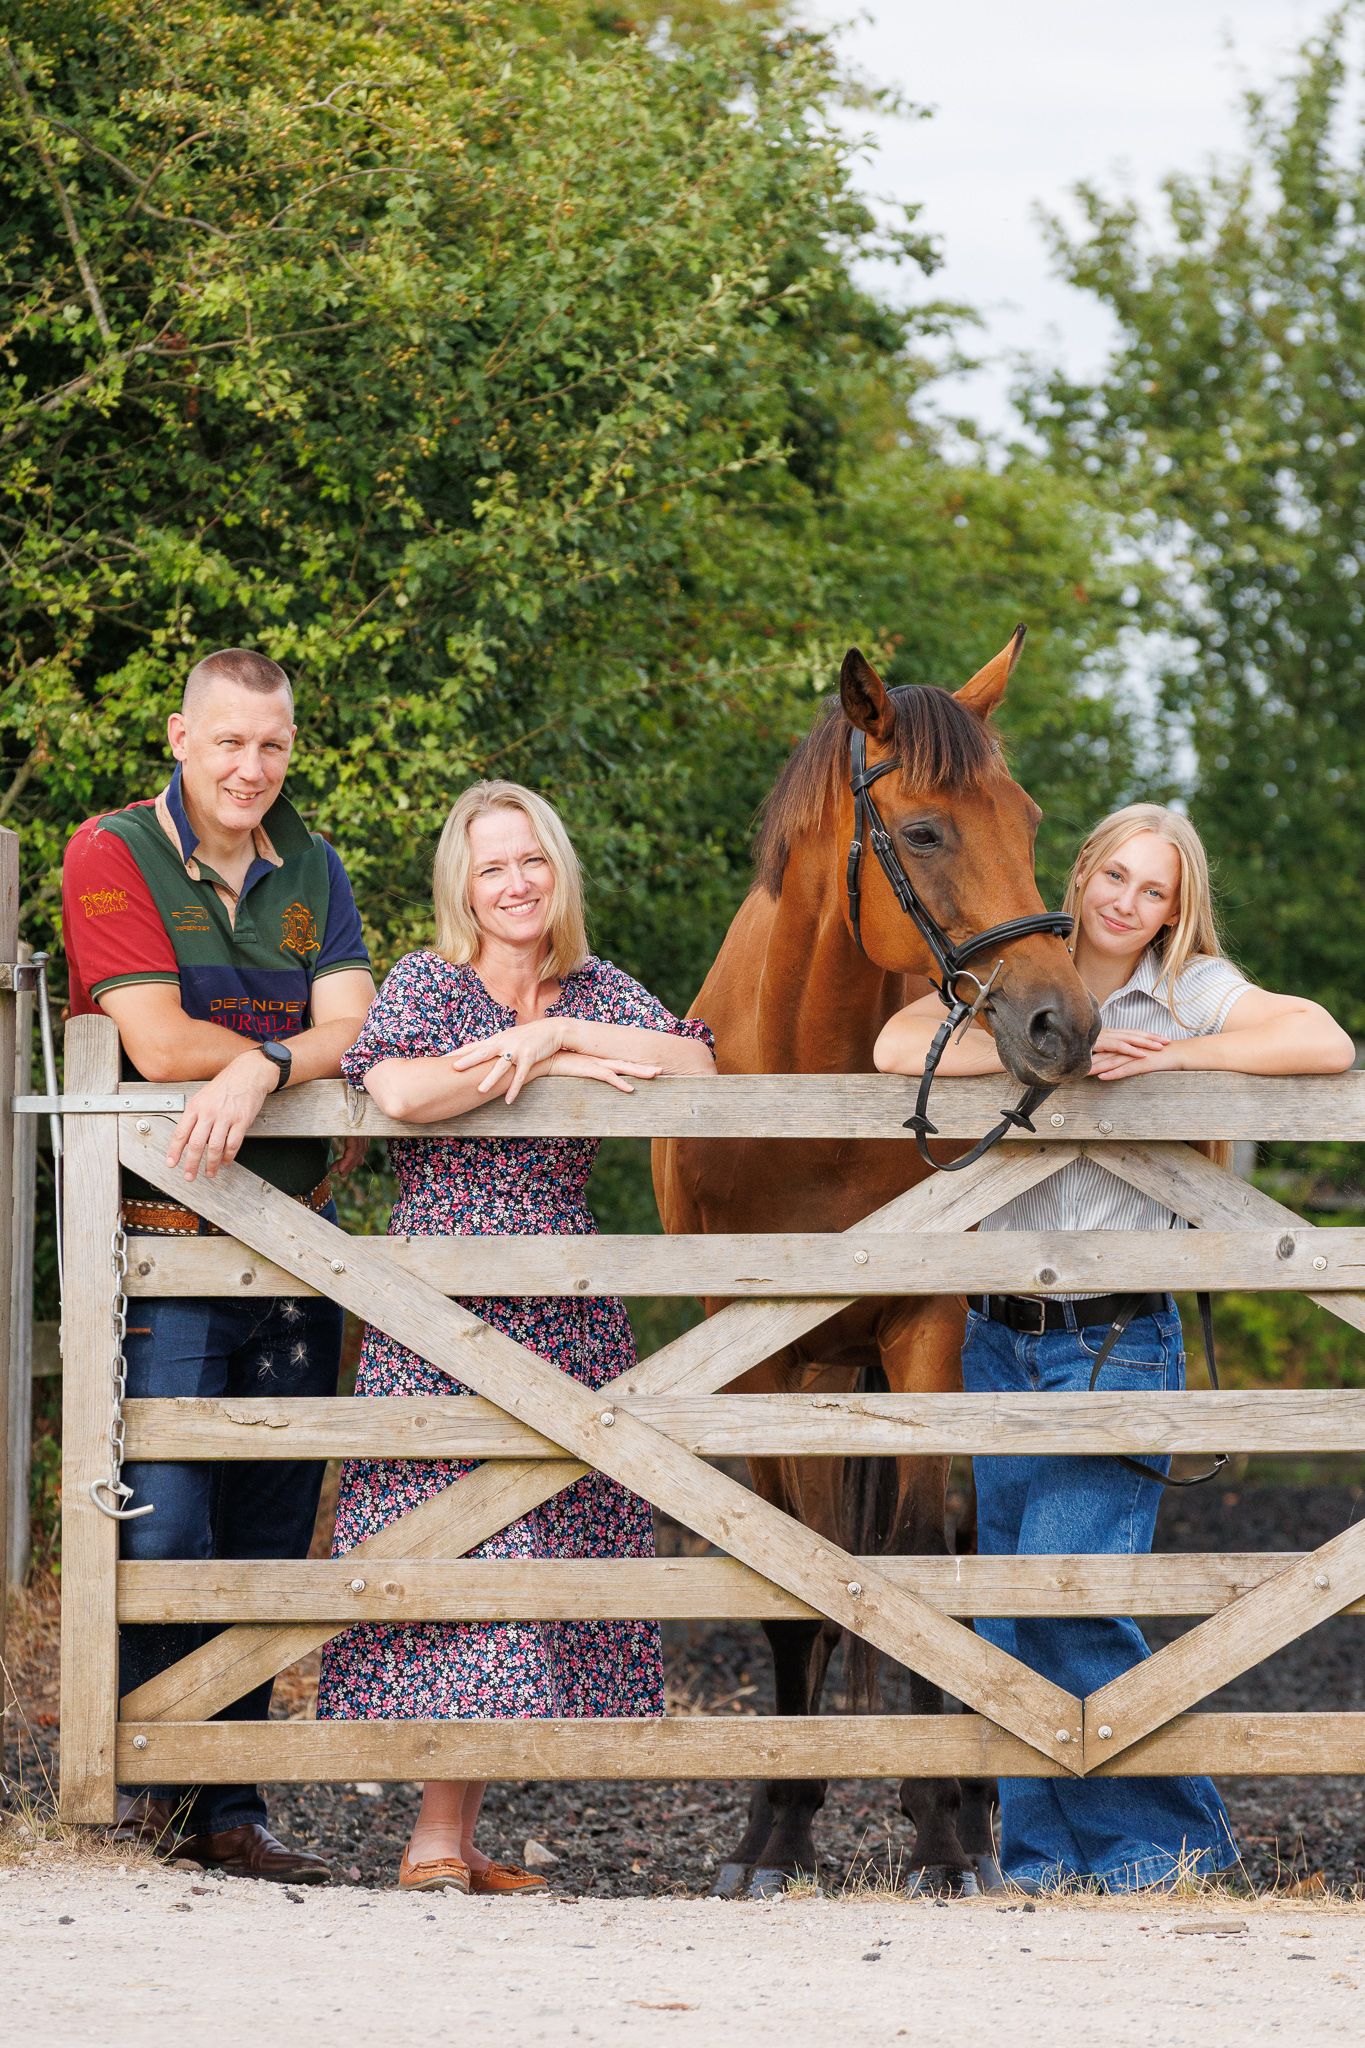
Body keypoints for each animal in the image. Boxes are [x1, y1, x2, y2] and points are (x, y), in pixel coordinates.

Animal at [652, 632, 1099, 1900]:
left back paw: (974, 1800)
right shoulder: (761, 1365)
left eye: (1026, 817)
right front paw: (778, 1828)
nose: (1064, 1023)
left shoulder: (925, 1335)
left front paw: (943, 1829)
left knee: (962, 1540)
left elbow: (917, 1562)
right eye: (928, 830)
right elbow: (792, 1585)